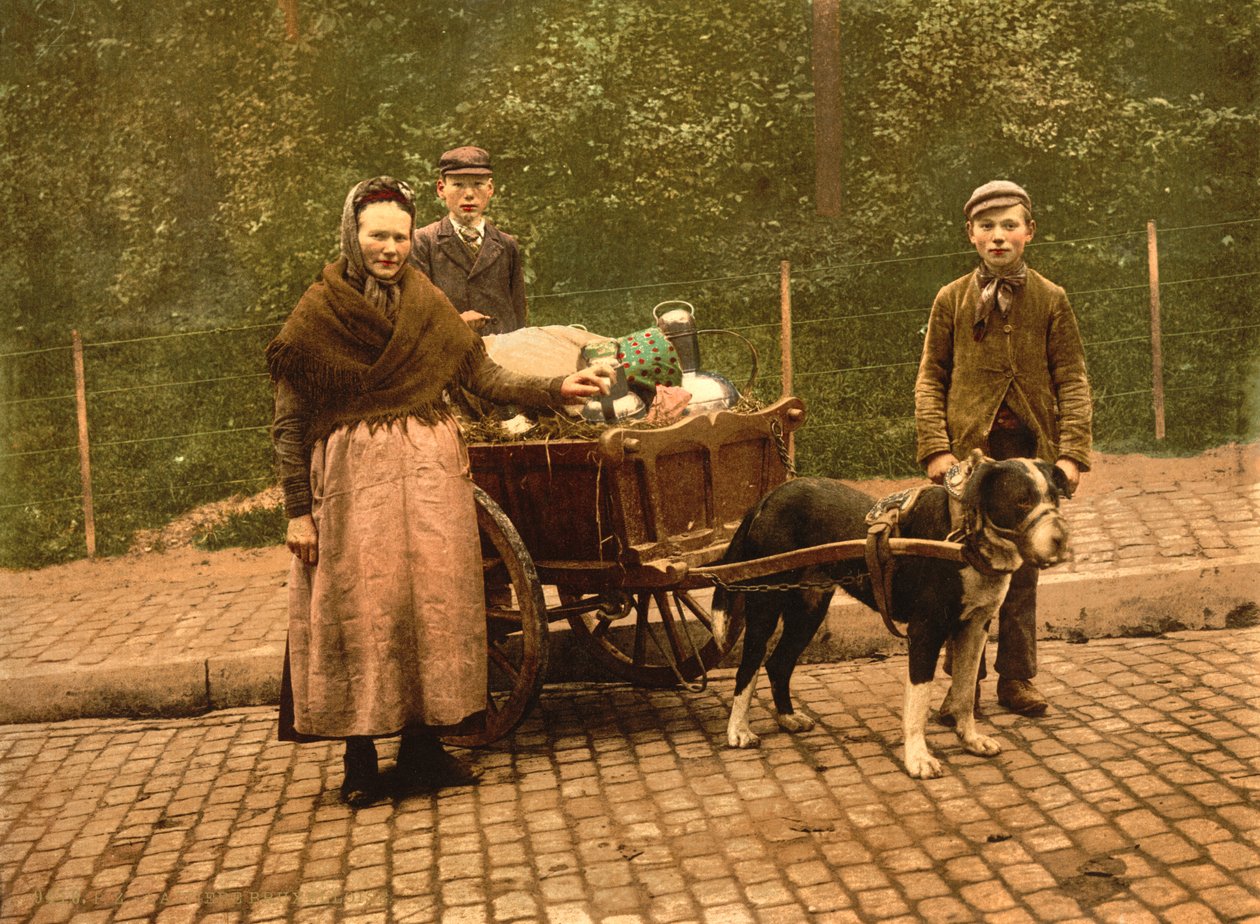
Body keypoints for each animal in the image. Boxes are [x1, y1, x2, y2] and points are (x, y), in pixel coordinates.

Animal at [715, 453, 1068, 776]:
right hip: (765, 604)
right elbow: (918, 702)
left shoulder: (975, 627)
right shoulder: (925, 631)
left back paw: (788, 718)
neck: (966, 538)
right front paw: (918, 759)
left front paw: (970, 739)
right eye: (1022, 500)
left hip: (809, 609)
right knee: (749, 667)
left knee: (778, 663)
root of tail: (767, 498)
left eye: (1054, 498)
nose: (1061, 540)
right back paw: (738, 730)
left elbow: (966, 692)